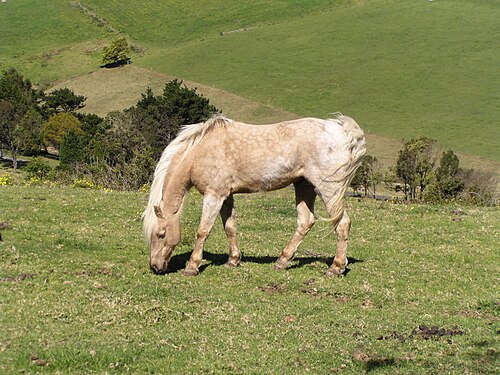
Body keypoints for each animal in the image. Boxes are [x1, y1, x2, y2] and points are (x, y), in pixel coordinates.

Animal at [143, 116, 366, 278]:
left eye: (161, 234)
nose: (155, 266)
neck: (200, 151)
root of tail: (343, 132)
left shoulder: (213, 195)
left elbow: (203, 231)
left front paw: (192, 266)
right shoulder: (226, 196)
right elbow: (230, 228)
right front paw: (233, 260)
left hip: (328, 189)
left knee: (342, 224)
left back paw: (336, 267)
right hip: (304, 186)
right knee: (305, 221)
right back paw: (282, 261)